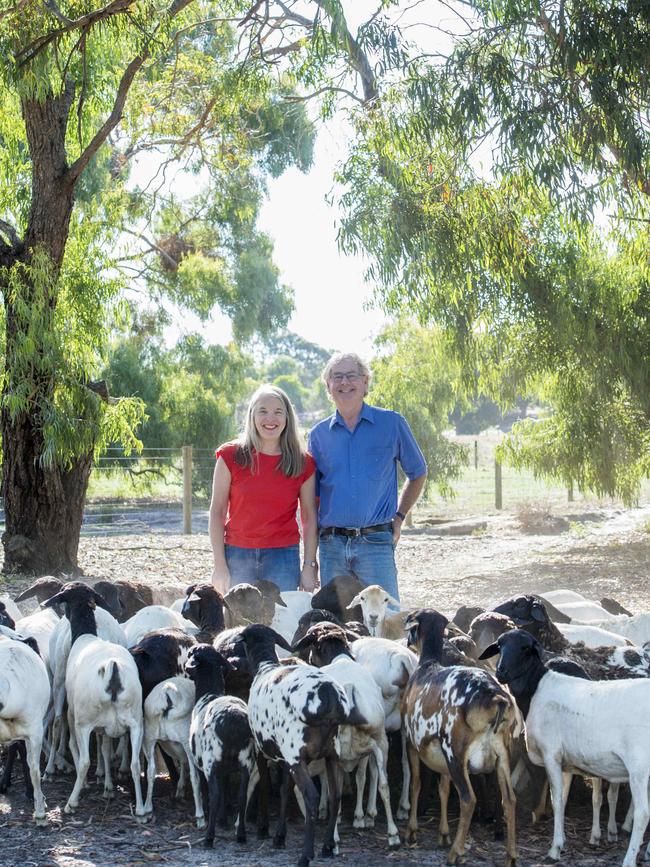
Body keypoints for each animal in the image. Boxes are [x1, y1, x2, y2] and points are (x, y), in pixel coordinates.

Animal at [400, 612, 516, 867]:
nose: (408, 642)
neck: (428, 662)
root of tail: (497, 699)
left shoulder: (411, 742)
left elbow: (416, 784)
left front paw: (412, 832)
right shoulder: (440, 754)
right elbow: (443, 788)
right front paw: (443, 834)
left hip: (457, 751)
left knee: (468, 799)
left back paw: (455, 853)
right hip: (502, 753)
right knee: (510, 799)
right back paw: (511, 856)